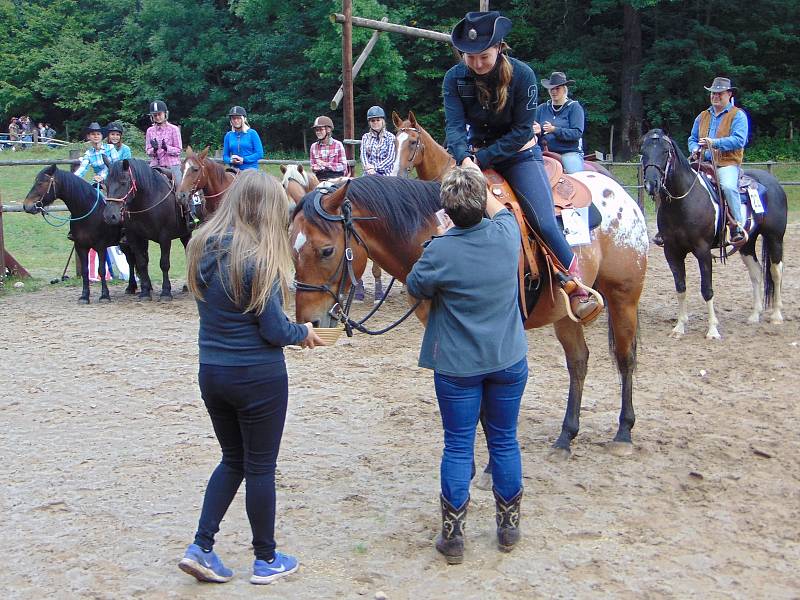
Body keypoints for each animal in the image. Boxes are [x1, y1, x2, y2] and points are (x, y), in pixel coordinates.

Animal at [23, 164, 138, 302]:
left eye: (41, 183)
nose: (27, 206)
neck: (88, 210)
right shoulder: (80, 246)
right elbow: (84, 271)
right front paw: (84, 296)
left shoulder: (100, 247)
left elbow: (101, 270)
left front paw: (105, 295)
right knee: (131, 260)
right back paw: (131, 287)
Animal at [102, 159, 191, 300]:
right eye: (105, 183)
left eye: (123, 182)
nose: (110, 216)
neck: (150, 197)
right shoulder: (134, 237)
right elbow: (141, 262)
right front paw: (144, 291)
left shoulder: (165, 237)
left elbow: (164, 263)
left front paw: (166, 291)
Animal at [290, 175, 648, 460]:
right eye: (292, 250)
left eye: (326, 250)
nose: (310, 322)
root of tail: (619, 191)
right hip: (565, 315)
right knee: (578, 362)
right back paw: (565, 437)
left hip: (623, 298)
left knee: (625, 358)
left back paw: (623, 433)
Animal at [640, 128, 784, 338]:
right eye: (643, 152)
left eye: (665, 152)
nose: (652, 184)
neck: (684, 201)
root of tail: (773, 182)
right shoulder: (672, 251)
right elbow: (680, 287)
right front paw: (679, 327)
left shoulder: (703, 251)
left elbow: (707, 289)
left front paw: (712, 330)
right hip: (747, 243)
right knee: (756, 272)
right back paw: (754, 315)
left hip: (775, 238)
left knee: (776, 272)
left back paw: (776, 315)